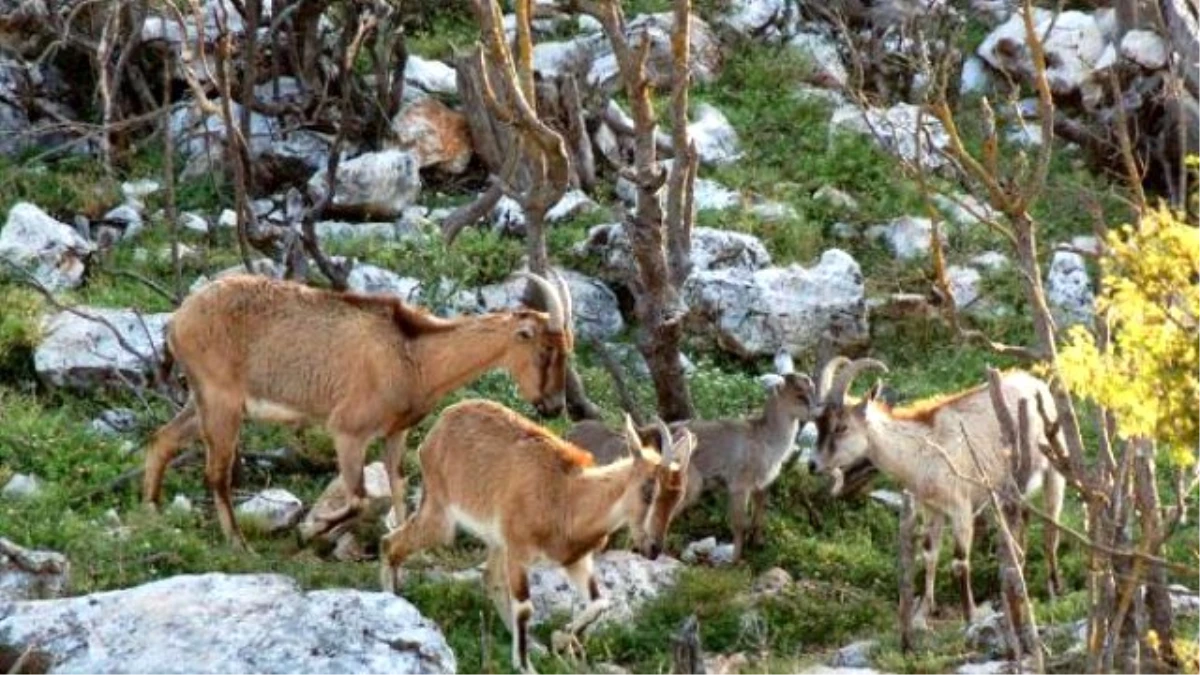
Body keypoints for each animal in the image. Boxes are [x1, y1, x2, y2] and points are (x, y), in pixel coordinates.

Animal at [140, 270, 571, 550]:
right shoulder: (348, 431)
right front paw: (311, 531)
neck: (415, 355)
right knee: (216, 473)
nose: (553, 406)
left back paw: (153, 513)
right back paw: (238, 543)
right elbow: (361, 497)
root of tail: (178, 319)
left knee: (162, 440)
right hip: (222, 402)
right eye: (545, 350)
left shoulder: (395, 433)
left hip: (202, 401)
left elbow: (397, 487)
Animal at [379, 396, 691, 667]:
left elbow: (600, 602)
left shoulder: (575, 560)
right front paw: (526, 664)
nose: (653, 548)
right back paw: (392, 600)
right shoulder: (519, 552)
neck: (568, 497)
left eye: (678, 497)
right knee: (390, 542)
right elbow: (526, 607)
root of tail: (439, 426)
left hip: (496, 541)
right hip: (442, 516)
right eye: (649, 489)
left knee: (490, 578)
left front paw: (559, 639)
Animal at [566, 348, 820, 559]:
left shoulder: (762, 485)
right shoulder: (739, 483)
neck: (767, 440)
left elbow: (759, 519)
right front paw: (735, 562)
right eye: (799, 394)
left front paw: (757, 546)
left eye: (812, 388)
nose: (817, 412)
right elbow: (739, 523)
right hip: (691, 483)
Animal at [811, 360, 1065, 619]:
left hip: (1054, 468)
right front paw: (925, 608)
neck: (923, 450)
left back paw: (1054, 589)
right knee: (1023, 518)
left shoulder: (961, 507)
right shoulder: (932, 508)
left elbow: (959, 562)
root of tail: (1036, 383)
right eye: (819, 425)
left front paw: (970, 615)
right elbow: (929, 553)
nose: (813, 465)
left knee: (1051, 530)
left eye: (841, 427)